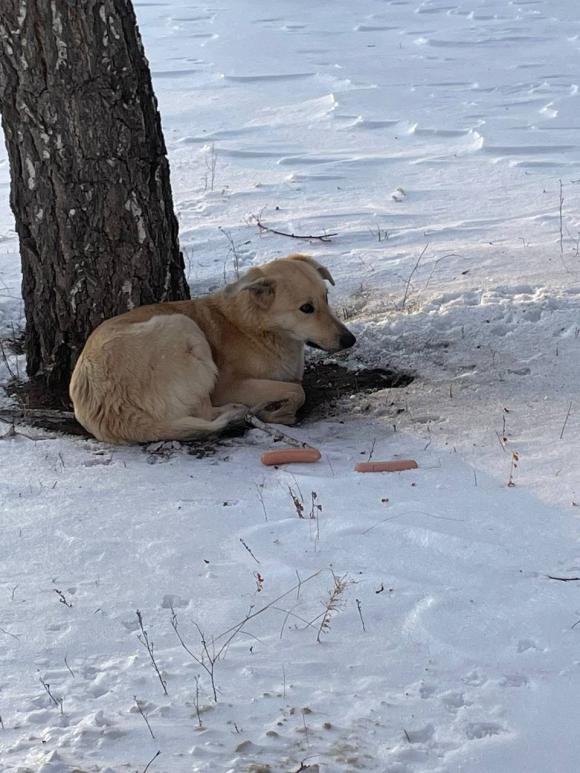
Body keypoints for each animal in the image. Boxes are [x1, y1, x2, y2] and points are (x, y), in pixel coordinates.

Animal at [70, 256, 356, 444]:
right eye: (306, 308)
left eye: (326, 298)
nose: (350, 340)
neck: (253, 328)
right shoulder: (228, 386)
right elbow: (298, 391)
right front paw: (279, 413)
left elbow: (296, 387)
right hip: (184, 327)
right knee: (205, 413)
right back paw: (241, 412)